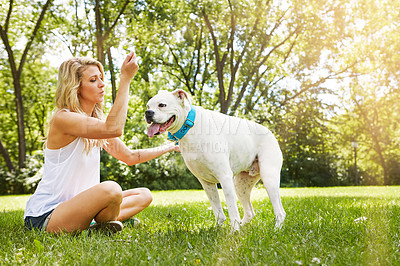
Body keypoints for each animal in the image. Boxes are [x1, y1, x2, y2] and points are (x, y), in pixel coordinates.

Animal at [145, 89, 286, 231]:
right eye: (148, 106)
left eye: (162, 105)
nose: (148, 113)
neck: (190, 127)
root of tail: (271, 134)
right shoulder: (206, 182)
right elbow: (217, 210)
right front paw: (218, 228)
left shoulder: (225, 177)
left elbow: (232, 209)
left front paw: (234, 232)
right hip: (241, 185)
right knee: (250, 212)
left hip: (268, 178)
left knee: (279, 211)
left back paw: (276, 229)